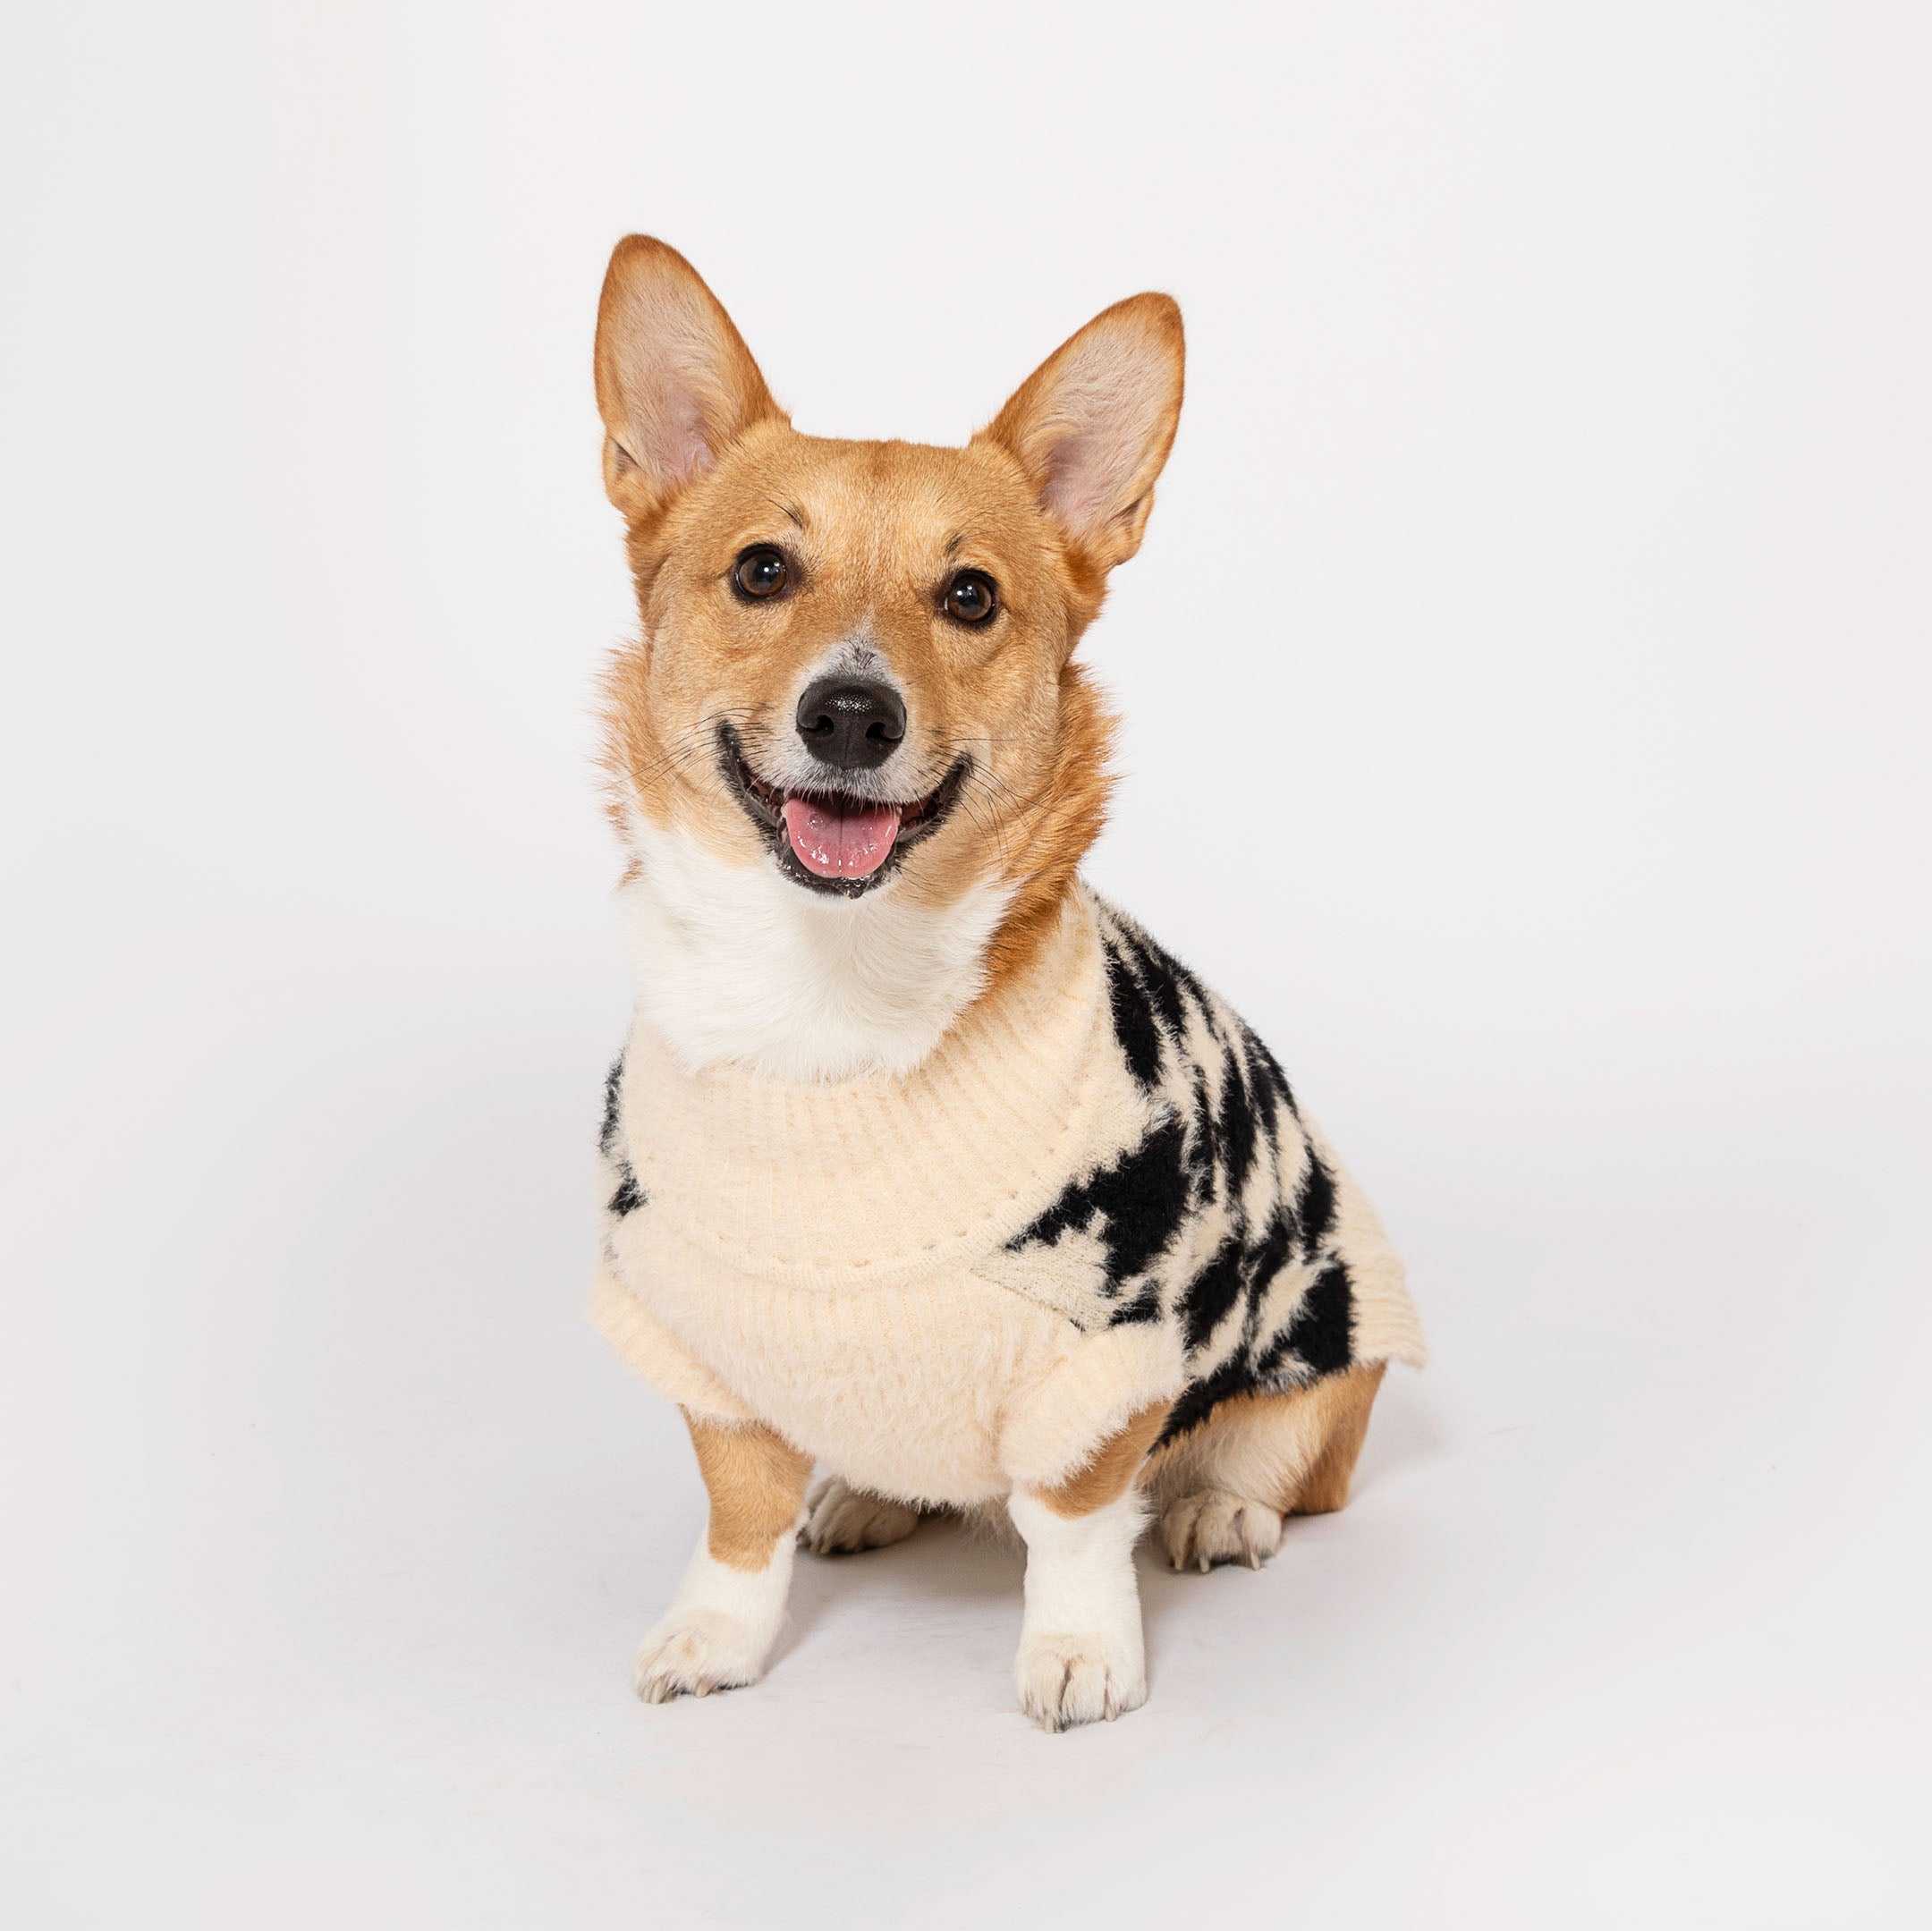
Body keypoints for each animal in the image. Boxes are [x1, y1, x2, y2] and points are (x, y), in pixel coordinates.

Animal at [587, 241, 1421, 1738]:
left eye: (969, 595)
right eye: (761, 570)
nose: (851, 713)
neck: (837, 1011)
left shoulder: (1107, 1347)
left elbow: (1076, 1515)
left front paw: (1082, 1650)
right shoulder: (697, 1337)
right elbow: (738, 1513)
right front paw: (714, 1632)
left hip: (1313, 1375)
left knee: (1262, 1469)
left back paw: (1216, 1513)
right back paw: (864, 1494)